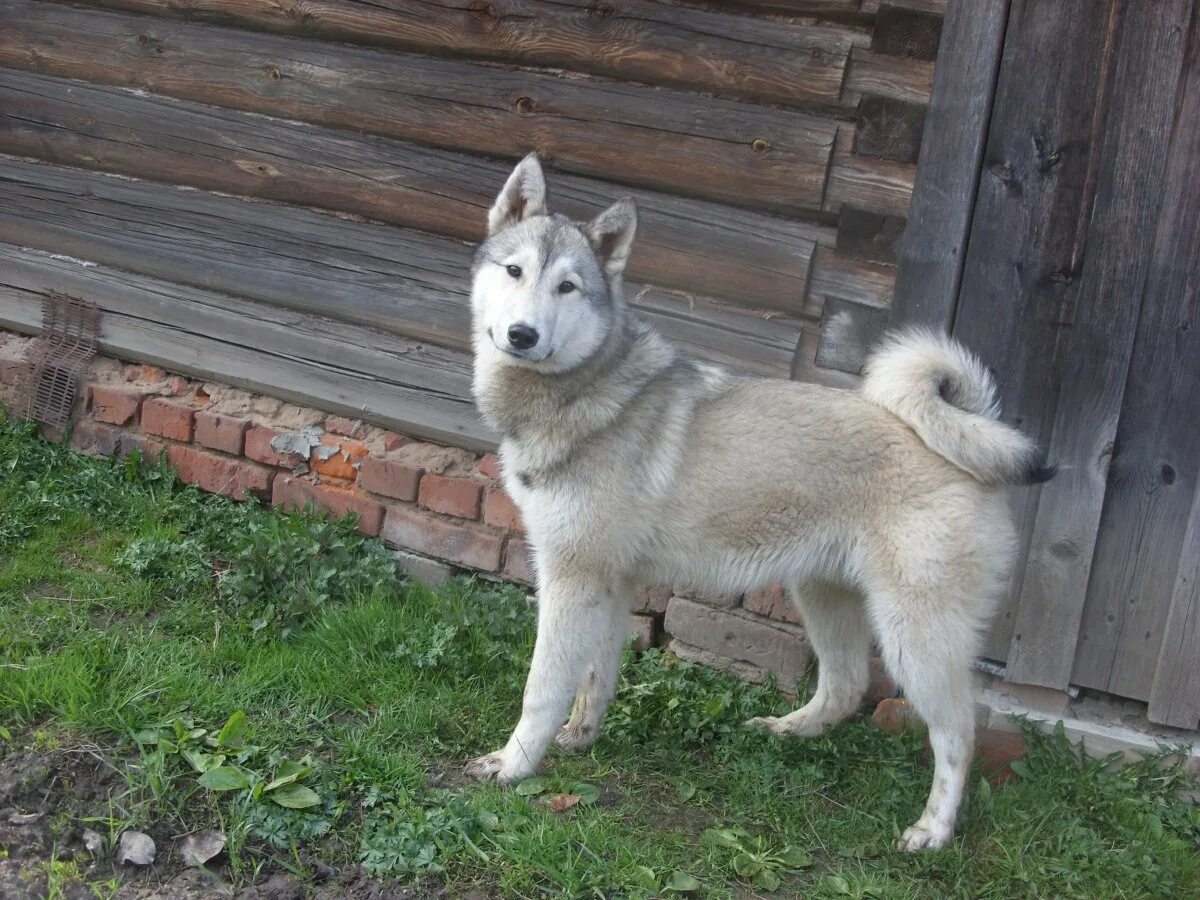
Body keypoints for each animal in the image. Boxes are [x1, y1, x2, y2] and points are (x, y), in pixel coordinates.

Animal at [463, 154, 1056, 854]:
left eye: (569, 287)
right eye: (514, 271)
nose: (522, 335)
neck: (583, 392)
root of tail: (969, 435)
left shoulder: (571, 579)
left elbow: (543, 688)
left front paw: (514, 764)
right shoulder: (610, 584)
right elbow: (595, 680)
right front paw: (579, 740)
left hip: (915, 635)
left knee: (957, 732)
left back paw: (933, 830)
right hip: (824, 595)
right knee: (846, 687)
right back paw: (788, 731)